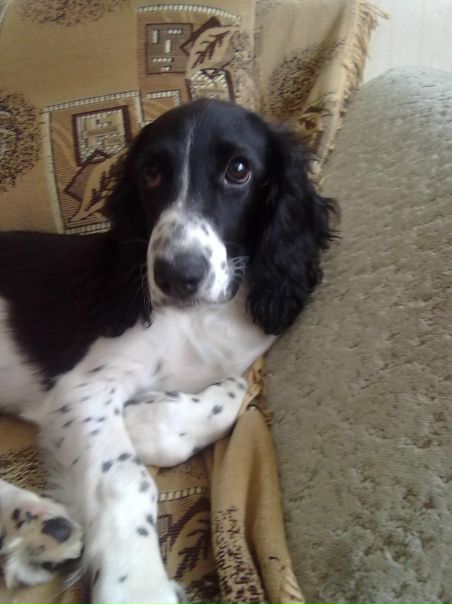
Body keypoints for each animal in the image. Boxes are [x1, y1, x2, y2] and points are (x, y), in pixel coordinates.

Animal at [0, 98, 336, 603]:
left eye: (239, 170)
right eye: (152, 173)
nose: (178, 275)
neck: (198, 318)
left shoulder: (241, 359)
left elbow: (234, 392)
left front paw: (141, 423)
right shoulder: (82, 389)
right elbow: (126, 478)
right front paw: (137, 584)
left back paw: (36, 526)